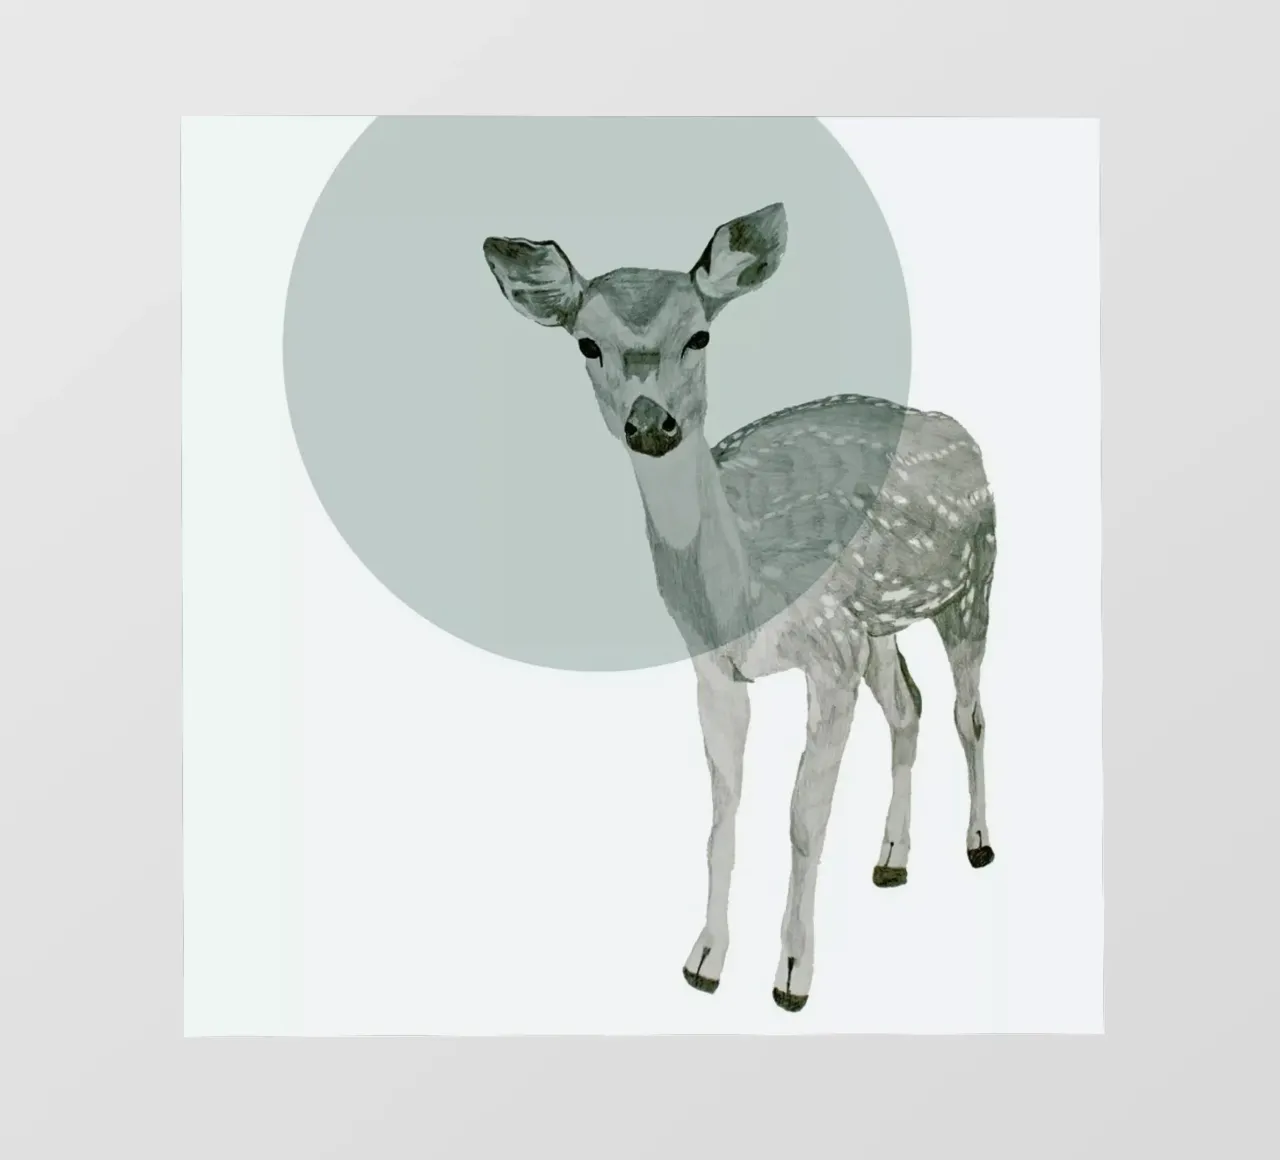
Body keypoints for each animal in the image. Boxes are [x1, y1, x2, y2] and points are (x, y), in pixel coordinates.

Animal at [482, 202, 996, 1012]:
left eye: (700, 334)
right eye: (587, 343)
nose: (650, 422)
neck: (741, 592)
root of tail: (963, 432)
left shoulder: (829, 649)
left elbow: (803, 818)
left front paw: (791, 977)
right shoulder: (715, 668)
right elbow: (722, 817)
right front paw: (703, 961)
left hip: (975, 576)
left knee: (967, 710)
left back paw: (977, 845)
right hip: (881, 622)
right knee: (908, 705)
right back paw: (891, 859)